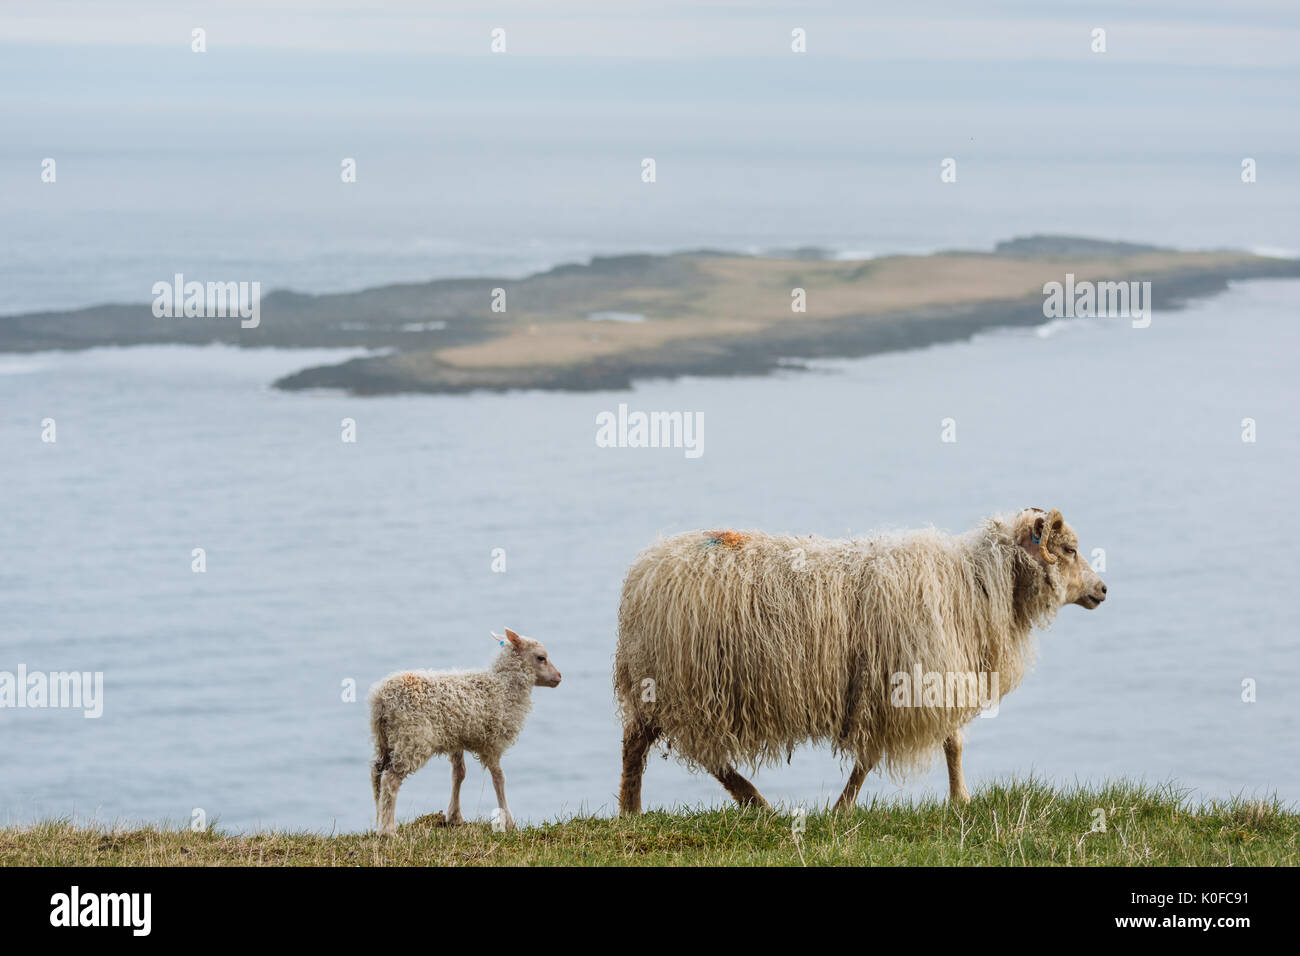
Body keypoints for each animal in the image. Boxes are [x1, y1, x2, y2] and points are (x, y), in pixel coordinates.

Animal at [371, 624, 564, 832]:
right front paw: (509, 822)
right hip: (412, 738)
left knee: (377, 774)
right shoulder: (493, 742)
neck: (504, 686)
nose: (559, 676)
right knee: (391, 780)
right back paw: (388, 830)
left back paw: (379, 821)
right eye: (541, 657)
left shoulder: (457, 738)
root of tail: (381, 698)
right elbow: (499, 779)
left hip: (385, 739)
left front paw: (454, 817)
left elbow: (459, 774)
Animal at [613, 509, 1102, 816]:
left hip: (668, 687)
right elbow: (943, 746)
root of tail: (645, 569)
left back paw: (648, 810)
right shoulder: (913, 679)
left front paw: (845, 806)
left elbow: (919, 748)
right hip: (687, 686)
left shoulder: (902, 685)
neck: (974, 583)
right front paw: (957, 800)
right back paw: (731, 803)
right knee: (682, 752)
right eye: (1070, 549)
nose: (1103, 590)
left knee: (651, 746)